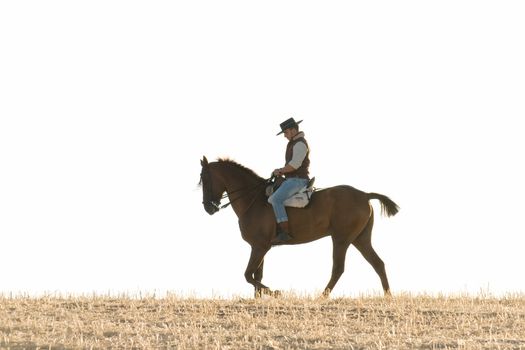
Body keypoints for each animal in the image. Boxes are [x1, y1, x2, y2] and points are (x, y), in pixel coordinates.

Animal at [199, 157, 400, 296]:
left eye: (204, 179)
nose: (208, 208)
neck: (253, 200)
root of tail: (365, 195)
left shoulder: (260, 247)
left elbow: (249, 275)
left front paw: (276, 293)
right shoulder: (259, 247)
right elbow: (257, 276)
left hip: (341, 239)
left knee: (338, 268)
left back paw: (321, 297)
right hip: (360, 239)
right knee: (378, 263)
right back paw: (388, 296)